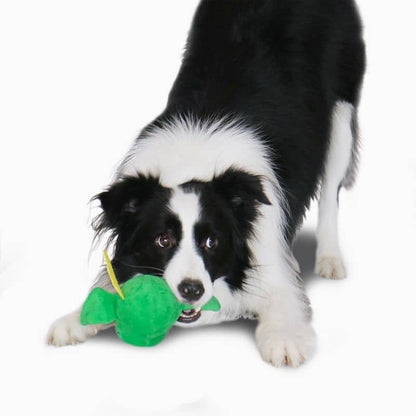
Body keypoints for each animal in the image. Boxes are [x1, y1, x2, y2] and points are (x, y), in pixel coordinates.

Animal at [48, 0, 364, 368]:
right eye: (163, 239)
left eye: (213, 242)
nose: (192, 290)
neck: (190, 167)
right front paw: (73, 320)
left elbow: (283, 297)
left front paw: (284, 340)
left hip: (342, 109)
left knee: (330, 192)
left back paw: (329, 259)